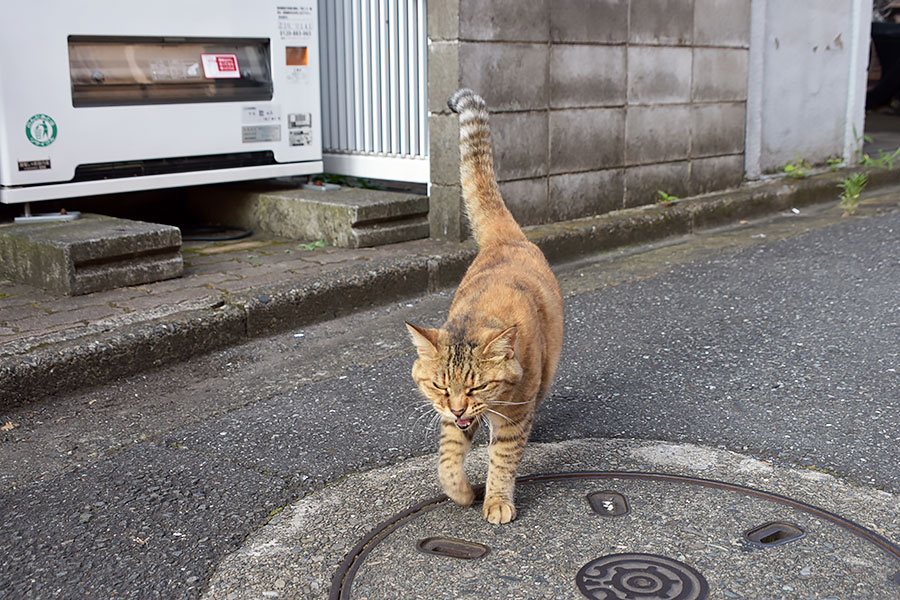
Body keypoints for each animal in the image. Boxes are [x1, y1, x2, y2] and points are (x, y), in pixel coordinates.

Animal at [408, 89, 564, 524]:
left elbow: (503, 459)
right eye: (441, 386)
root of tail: (505, 238)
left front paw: (496, 500)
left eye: (478, 385)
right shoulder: (450, 419)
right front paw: (460, 492)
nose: (461, 407)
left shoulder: (513, 415)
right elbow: (447, 460)